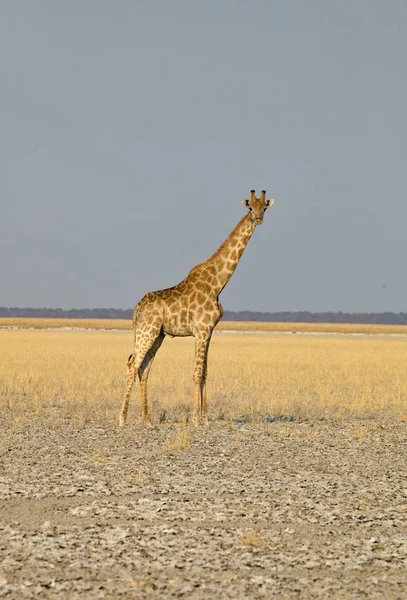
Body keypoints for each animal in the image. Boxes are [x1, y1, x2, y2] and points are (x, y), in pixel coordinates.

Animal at [119, 188, 276, 426]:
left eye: (264, 207)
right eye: (250, 207)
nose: (258, 219)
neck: (218, 283)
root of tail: (137, 309)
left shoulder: (208, 331)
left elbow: (205, 372)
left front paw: (205, 419)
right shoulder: (201, 330)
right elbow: (197, 372)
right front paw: (194, 419)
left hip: (157, 335)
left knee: (143, 368)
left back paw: (146, 419)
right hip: (147, 331)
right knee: (132, 365)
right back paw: (122, 419)